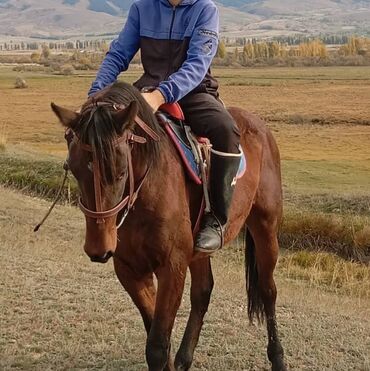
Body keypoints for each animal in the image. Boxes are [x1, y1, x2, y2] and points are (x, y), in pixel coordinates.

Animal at [50, 82, 286, 371]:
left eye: (120, 171)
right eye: (73, 169)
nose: (98, 249)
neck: (144, 191)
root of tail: (260, 126)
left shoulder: (172, 266)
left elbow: (157, 346)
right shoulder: (129, 269)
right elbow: (155, 334)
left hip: (265, 226)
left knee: (267, 290)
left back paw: (278, 358)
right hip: (199, 250)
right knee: (202, 292)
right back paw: (185, 358)